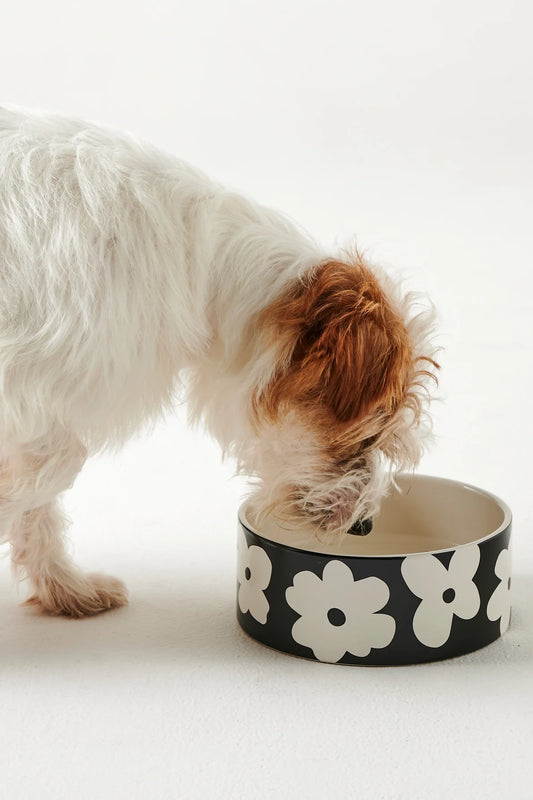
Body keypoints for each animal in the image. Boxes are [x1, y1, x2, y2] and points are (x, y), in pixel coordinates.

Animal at [0, 106, 436, 620]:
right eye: (369, 435)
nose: (364, 526)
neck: (201, 265)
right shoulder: (27, 388)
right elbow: (53, 469)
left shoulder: (42, 407)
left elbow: (40, 494)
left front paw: (64, 586)